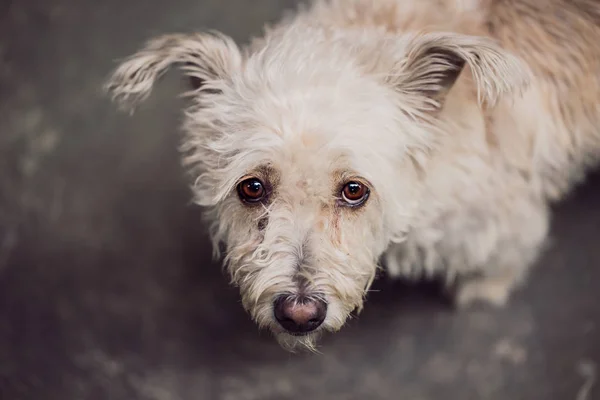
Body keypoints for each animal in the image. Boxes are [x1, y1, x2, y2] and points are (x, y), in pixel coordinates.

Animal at [104, 0, 600, 350]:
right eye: (252, 187)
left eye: (354, 190)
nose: (299, 313)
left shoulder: (506, 218)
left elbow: (507, 254)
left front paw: (483, 288)